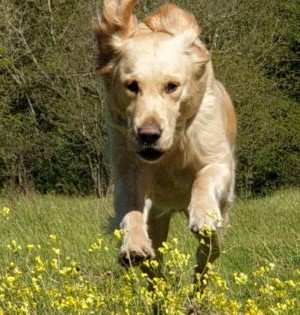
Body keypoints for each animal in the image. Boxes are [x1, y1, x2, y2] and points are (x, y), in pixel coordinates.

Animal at [95, 0, 236, 282]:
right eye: (132, 85)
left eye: (172, 86)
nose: (148, 135)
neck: (171, 151)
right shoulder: (128, 174)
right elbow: (131, 211)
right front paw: (133, 244)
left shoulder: (220, 162)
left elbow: (204, 176)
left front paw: (202, 214)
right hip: (158, 223)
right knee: (156, 273)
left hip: (217, 235)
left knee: (206, 258)